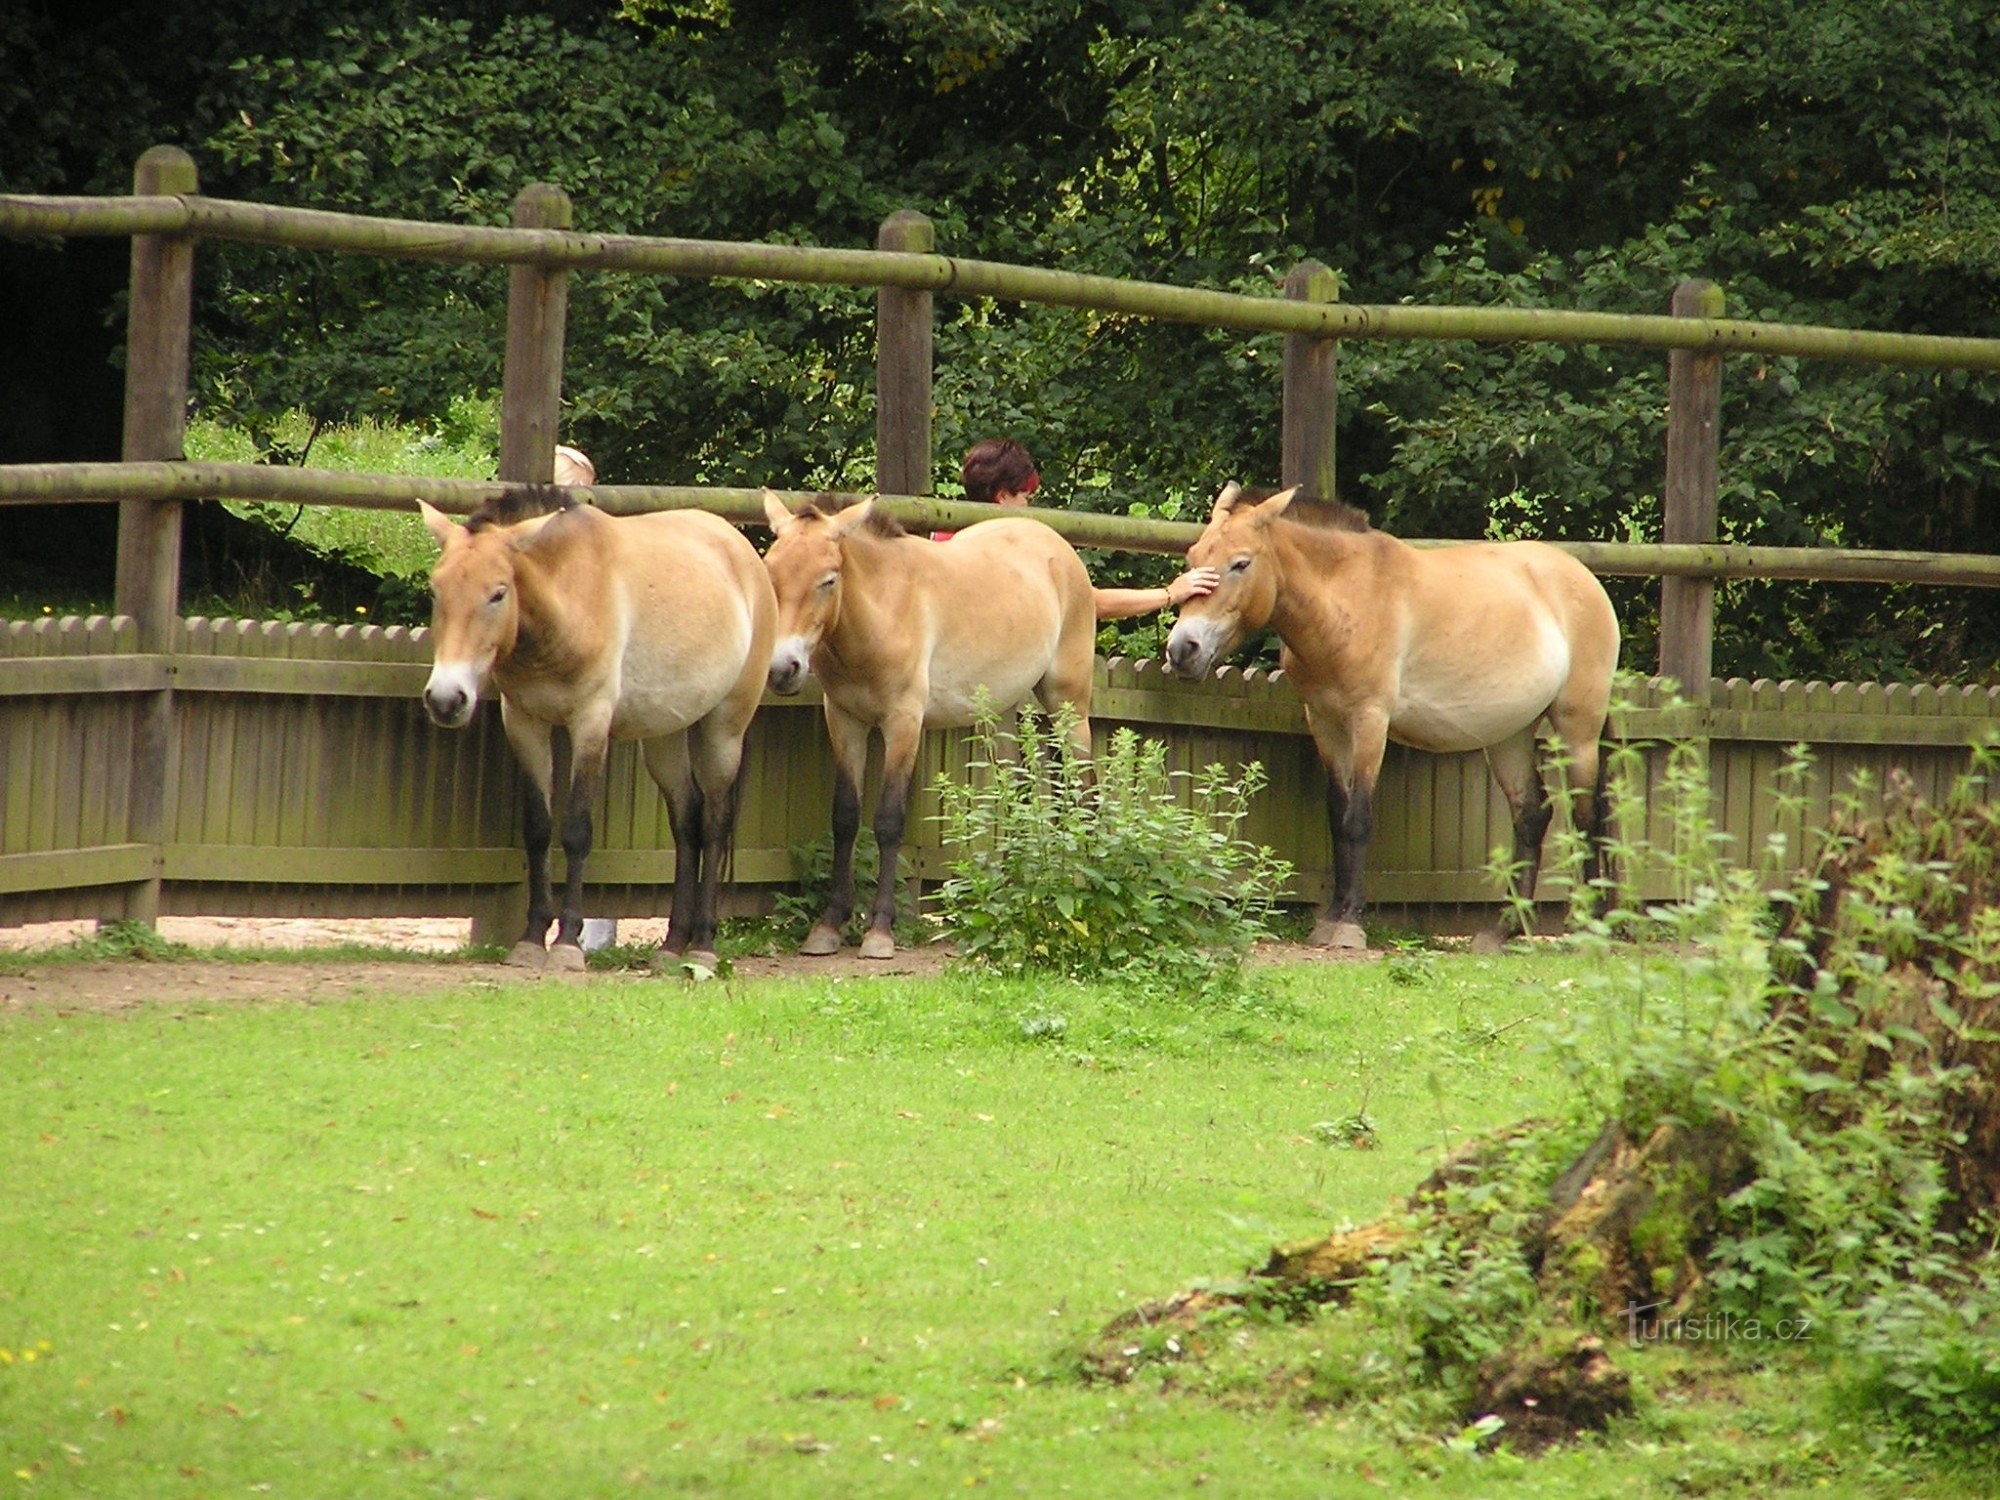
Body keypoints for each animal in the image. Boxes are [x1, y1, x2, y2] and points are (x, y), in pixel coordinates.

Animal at [756, 494, 1096, 964]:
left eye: (828, 579)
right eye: (770, 571)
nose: (781, 669)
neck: (880, 611)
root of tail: (1057, 547)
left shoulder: (903, 723)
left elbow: (888, 820)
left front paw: (880, 931)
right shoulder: (844, 721)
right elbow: (845, 816)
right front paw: (829, 926)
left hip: (1068, 705)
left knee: (1084, 791)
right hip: (1014, 709)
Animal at [1168, 482, 1616, 952]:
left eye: (1240, 563)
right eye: (1192, 558)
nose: (1182, 650)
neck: (1343, 597)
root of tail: (1581, 577)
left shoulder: (1369, 720)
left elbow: (1358, 820)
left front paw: (1350, 925)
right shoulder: (1325, 723)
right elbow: (1337, 815)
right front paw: (1331, 918)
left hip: (1578, 729)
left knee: (1586, 817)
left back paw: (1589, 929)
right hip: (1509, 735)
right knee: (1531, 816)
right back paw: (1503, 930)